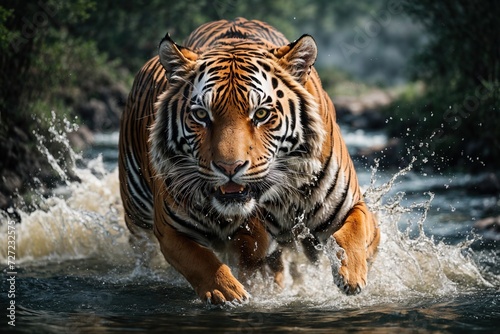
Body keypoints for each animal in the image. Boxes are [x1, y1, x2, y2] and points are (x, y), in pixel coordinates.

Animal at [120, 18, 378, 306]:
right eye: (201, 115)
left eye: (261, 114)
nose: (229, 167)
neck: (288, 187)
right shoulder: (170, 229)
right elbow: (200, 261)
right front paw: (229, 292)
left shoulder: (354, 206)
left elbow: (353, 232)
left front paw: (351, 276)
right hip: (137, 216)